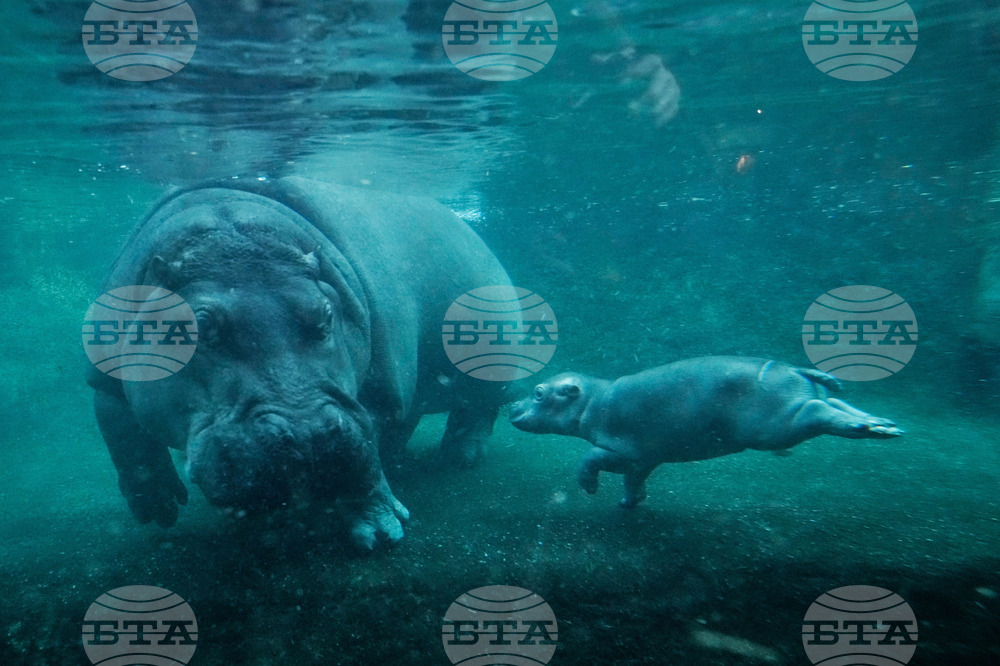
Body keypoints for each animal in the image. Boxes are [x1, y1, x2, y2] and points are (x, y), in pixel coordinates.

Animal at [86, 177, 512, 549]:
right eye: (198, 327)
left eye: (326, 314)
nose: (310, 435)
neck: (224, 234)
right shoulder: (103, 378)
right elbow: (122, 434)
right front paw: (157, 508)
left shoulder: (377, 395)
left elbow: (367, 454)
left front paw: (378, 531)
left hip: (489, 361)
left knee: (480, 407)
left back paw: (461, 457)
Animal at [508, 356, 903, 507]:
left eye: (539, 392)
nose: (511, 405)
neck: (592, 398)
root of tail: (792, 368)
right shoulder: (645, 458)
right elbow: (634, 481)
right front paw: (629, 503)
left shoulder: (623, 449)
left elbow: (589, 458)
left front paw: (589, 488)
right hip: (798, 403)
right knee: (834, 401)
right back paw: (883, 424)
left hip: (778, 425)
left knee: (818, 411)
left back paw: (872, 427)